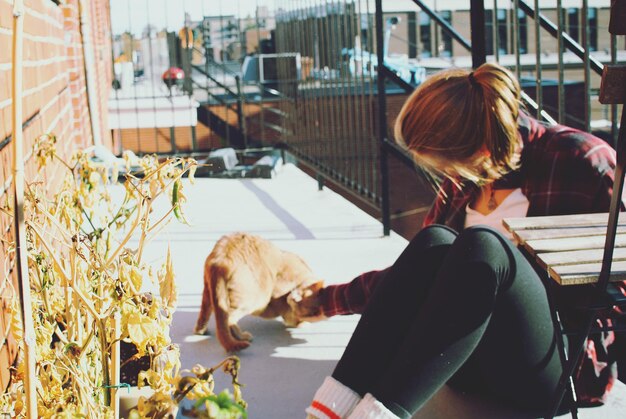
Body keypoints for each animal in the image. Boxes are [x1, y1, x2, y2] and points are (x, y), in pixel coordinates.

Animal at [194, 231, 322, 352]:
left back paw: (201, 330)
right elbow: (290, 312)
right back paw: (242, 336)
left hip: (208, 292)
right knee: (229, 318)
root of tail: (221, 260)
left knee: (205, 314)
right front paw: (300, 323)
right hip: (254, 299)